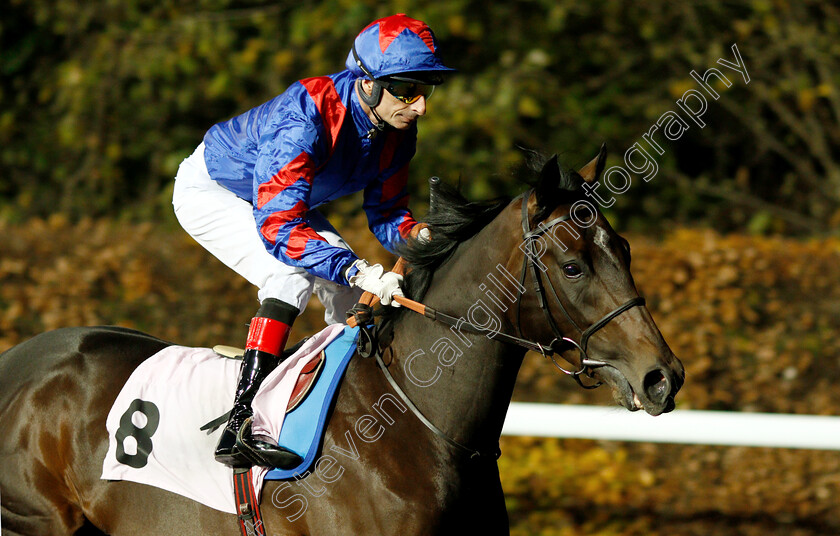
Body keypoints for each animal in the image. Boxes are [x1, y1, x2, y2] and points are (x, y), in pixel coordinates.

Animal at [0, 148, 684, 536]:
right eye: (572, 266)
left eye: (624, 248)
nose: (663, 376)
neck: (422, 423)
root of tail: (17, 362)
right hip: (36, 520)